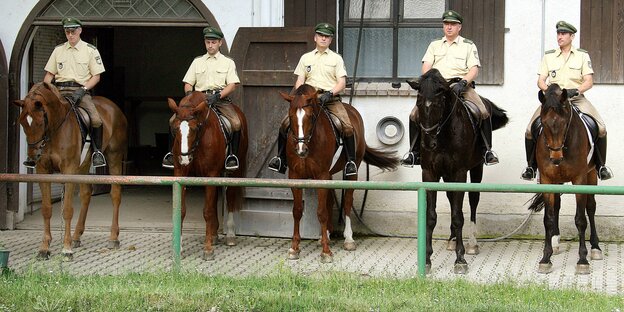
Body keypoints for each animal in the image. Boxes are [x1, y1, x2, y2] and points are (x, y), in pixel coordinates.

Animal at [13, 81, 128, 260]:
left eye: (40, 122)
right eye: (23, 123)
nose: (33, 157)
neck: (55, 129)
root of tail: (112, 106)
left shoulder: (68, 170)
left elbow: (67, 209)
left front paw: (66, 249)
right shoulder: (43, 170)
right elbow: (46, 209)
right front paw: (44, 248)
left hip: (113, 156)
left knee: (115, 194)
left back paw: (113, 238)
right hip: (83, 165)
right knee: (86, 194)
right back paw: (76, 236)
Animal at [167, 92, 247, 260]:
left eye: (195, 128)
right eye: (175, 128)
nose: (184, 159)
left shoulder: (211, 173)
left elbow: (208, 211)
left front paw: (208, 249)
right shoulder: (181, 174)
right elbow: (181, 210)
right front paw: (179, 248)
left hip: (233, 171)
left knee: (229, 197)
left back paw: (229, 235)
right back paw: (214, 234)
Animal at [280, 84, 400, 262]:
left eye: (311, 117)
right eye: (290, 116)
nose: (301, 150)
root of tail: (352, 110)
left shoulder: (322, 176)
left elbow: (321, 212)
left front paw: (326, 252)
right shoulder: (295, 177)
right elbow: (297, 211)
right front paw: (294, 248)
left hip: (350, 172)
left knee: (347, 202)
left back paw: (348, 240)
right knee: (330, 201)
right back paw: (326, 235)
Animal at [408, 69, 510, 274]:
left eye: (440, 103)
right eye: (419, 102)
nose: (428, 144)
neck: (443, 135)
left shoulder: (460, 173)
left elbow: (458, 216)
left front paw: (460, 259)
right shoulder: (429, 173)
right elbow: (431, 216)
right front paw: (427, 259)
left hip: (476, 168)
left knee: (473, 201)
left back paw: (472, 244)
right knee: (451, 197)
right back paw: (452, 240)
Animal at [528, 84, 604, 274]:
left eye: (564, 124)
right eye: (543, 123)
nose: (556, 159)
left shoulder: (580, 180)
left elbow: (581, 219)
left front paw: (583, 260)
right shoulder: (547, 180)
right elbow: (548, 218)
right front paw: (545, 258)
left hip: (592, 175)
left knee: (591, 207)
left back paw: (595, 248)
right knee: (556, 206)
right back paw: (555, 242)